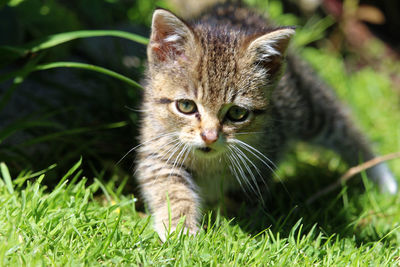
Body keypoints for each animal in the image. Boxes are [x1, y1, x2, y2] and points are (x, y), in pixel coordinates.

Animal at [137, 4, 396, 243]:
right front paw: (181, 231)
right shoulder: (157, 152)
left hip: (307, 108)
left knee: (343, 124)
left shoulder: (261, 160)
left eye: (237, 113)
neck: (209, 162)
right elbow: (172, 190)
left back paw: (383, 178)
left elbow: (244, 200)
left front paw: (235, 229)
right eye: (186, 106)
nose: (209, 136)